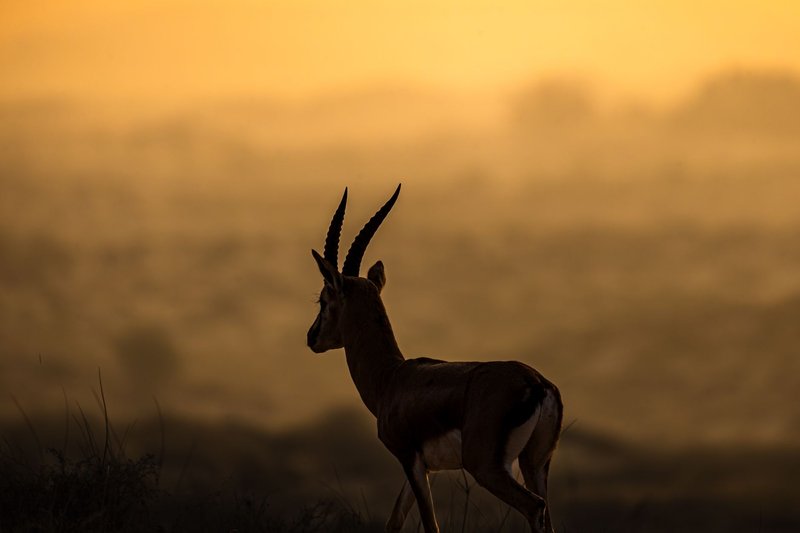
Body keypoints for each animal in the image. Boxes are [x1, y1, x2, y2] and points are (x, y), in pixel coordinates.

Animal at [307, 185, 563, 533]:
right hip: (535, 464)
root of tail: (537, 384)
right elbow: (394, 521)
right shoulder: (424, 467)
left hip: (488, 468)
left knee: (535, 507)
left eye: (323, 299)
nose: (312, 338)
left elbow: (430, 525)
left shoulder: (409, 459)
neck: (392, 379)